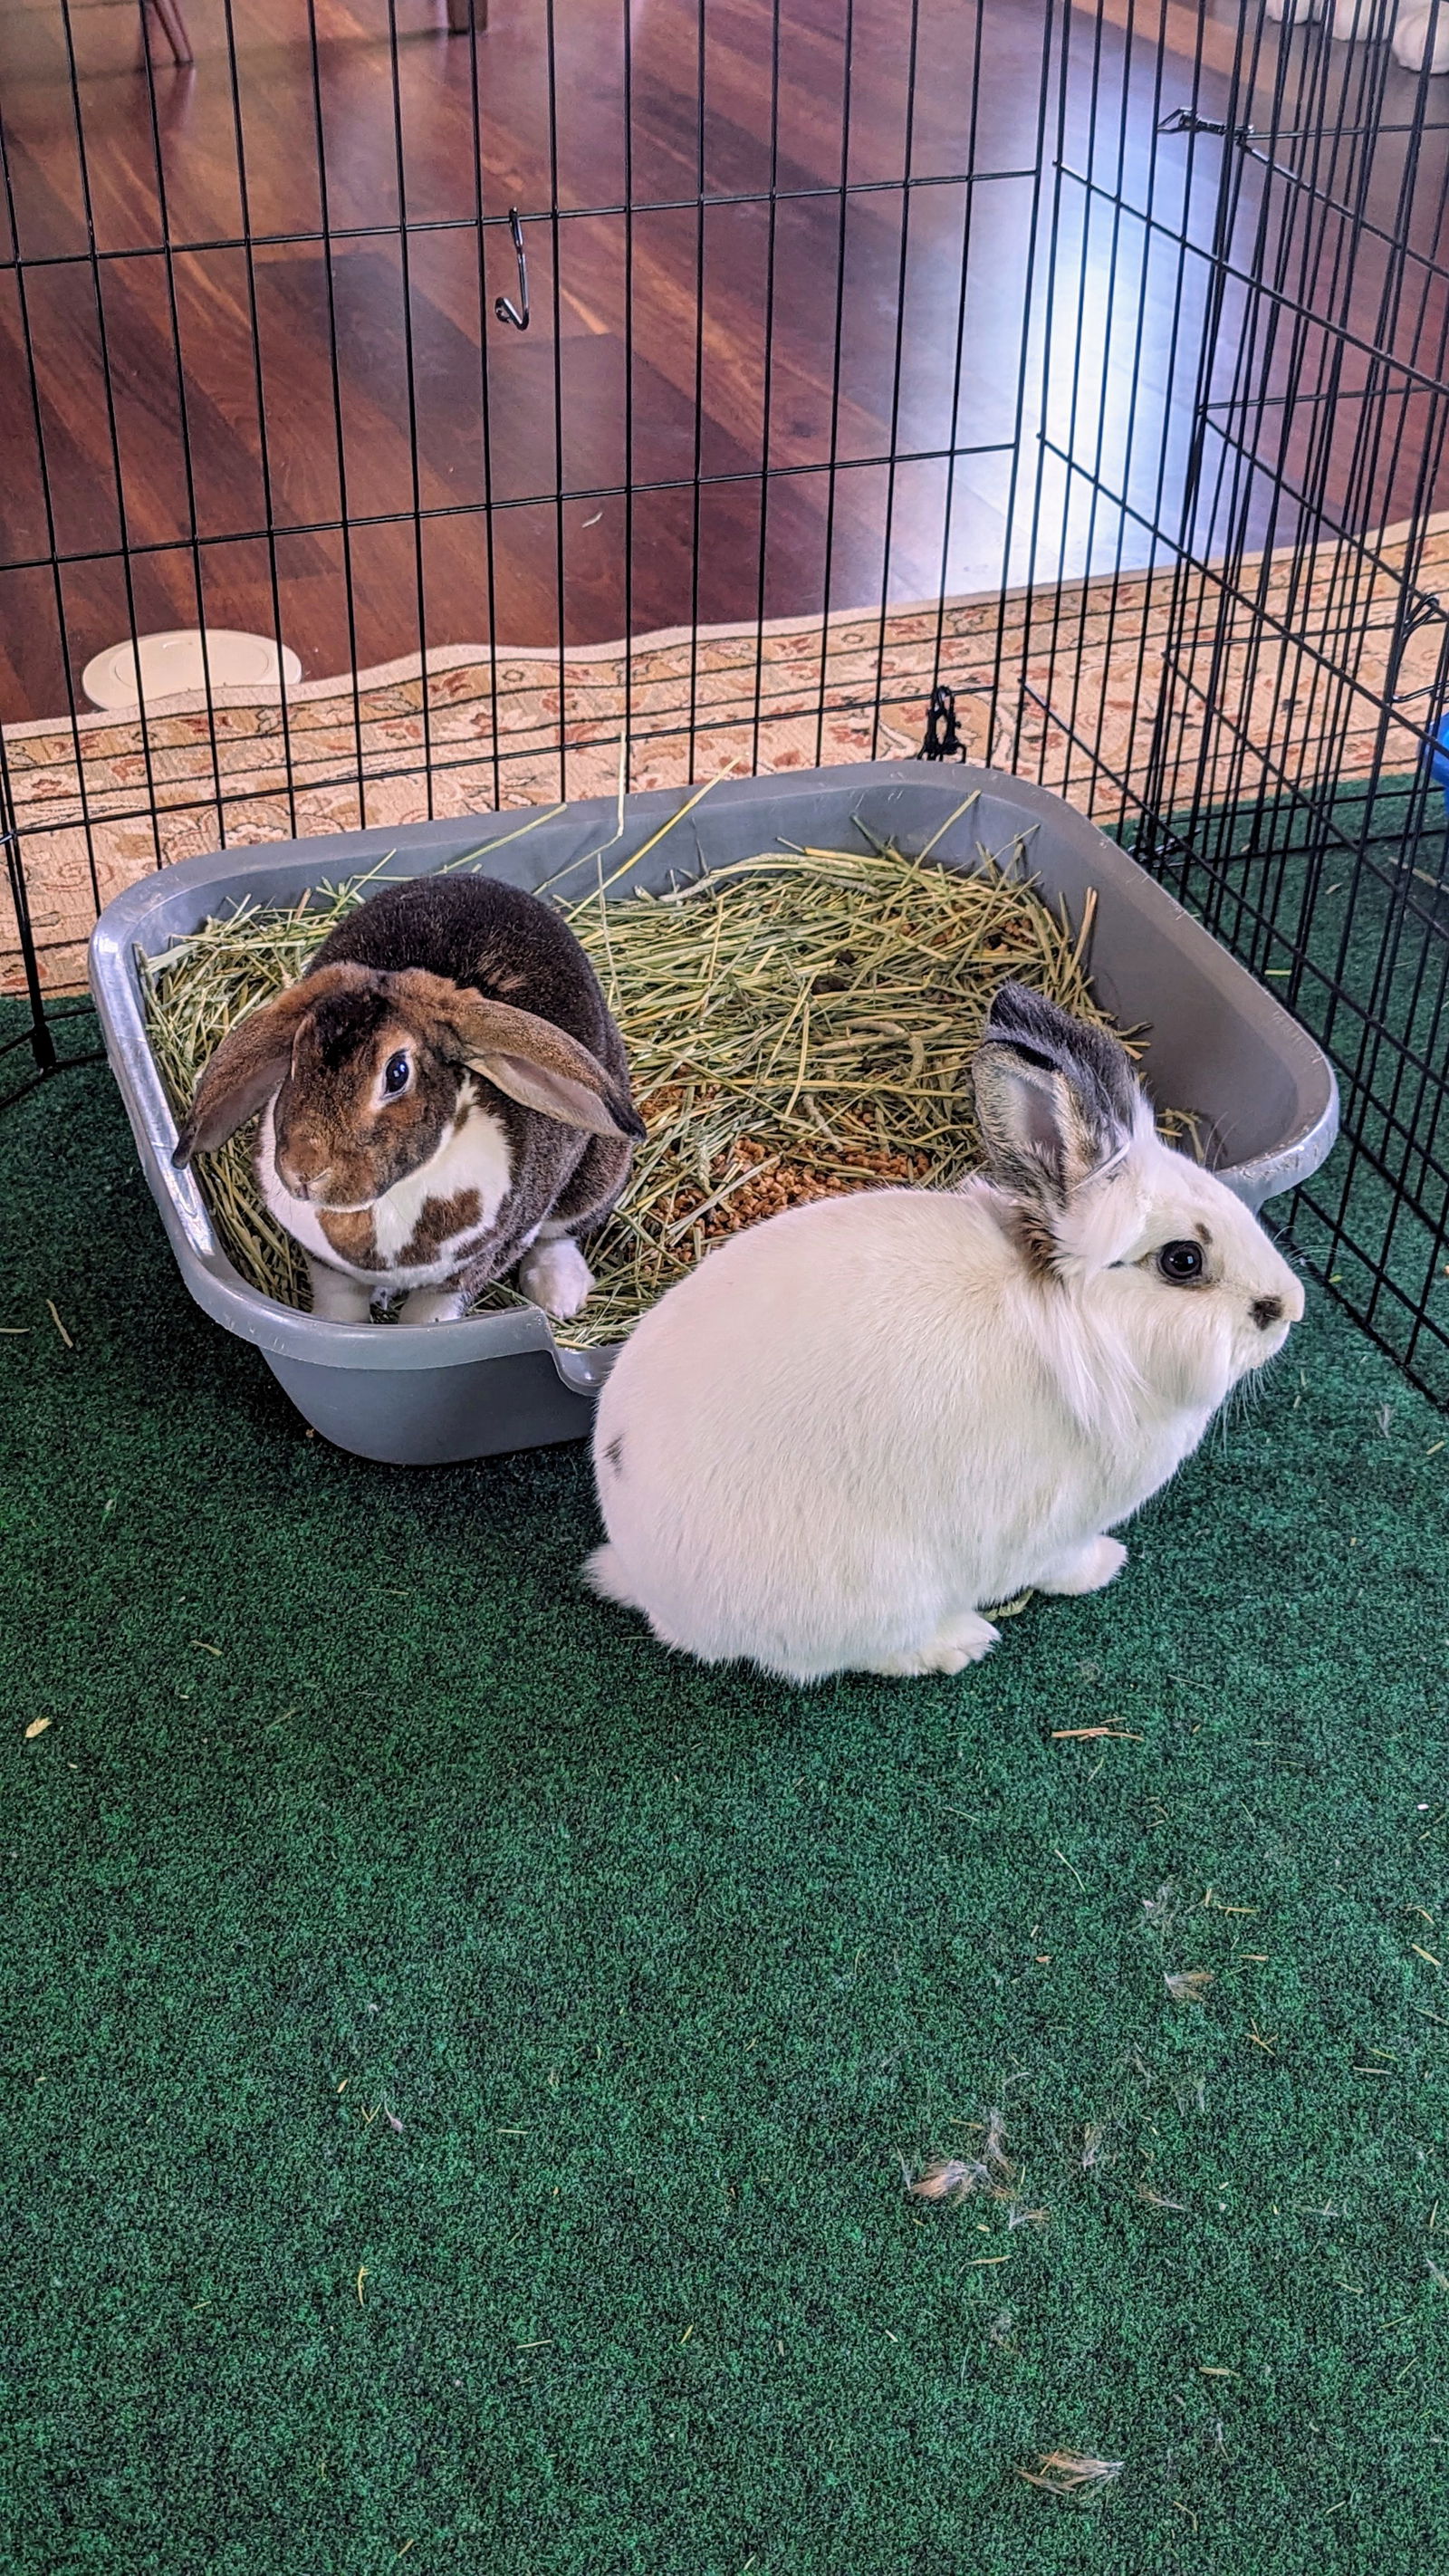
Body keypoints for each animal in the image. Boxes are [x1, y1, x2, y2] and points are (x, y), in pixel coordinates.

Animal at [584, 974, 1307, 1679]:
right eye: (1183, 1261)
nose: (1292, 1307)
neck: (1087, 1328)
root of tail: (651, 1587)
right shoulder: (1047, 1524)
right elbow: (1058, 1564)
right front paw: (1106, 1564)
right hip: (880, 1586)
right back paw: (961, 1642)